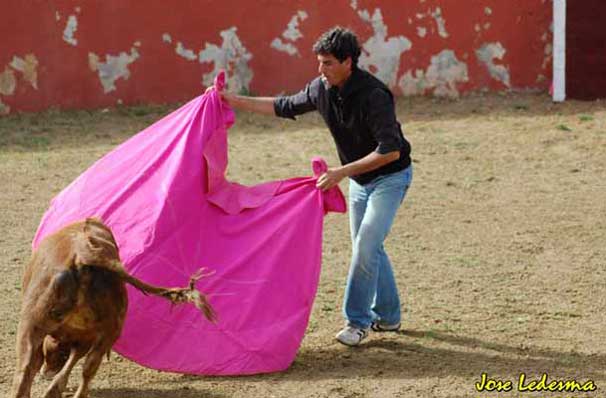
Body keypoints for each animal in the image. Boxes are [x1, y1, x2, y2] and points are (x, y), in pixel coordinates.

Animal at [10, 219, 217, 396]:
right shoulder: (87, 337)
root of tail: (84, 253)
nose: (47, 373)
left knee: (29, 369)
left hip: (35, 324)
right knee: (80, 367)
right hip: (107, 330)